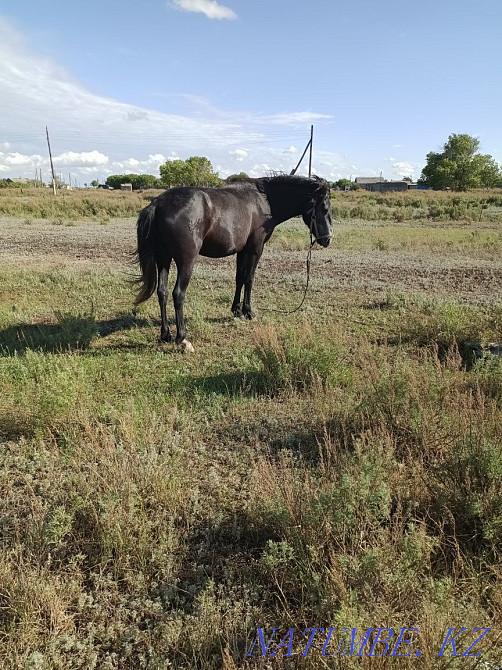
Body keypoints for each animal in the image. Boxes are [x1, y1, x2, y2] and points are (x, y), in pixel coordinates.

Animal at [133, 174, 333, 352]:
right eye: (324, 208)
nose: (327, 239)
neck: (264, 201)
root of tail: (158, 204)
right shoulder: (255, 249)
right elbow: (249, 279)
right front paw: (248, 311)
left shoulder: (241, 251)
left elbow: (239, 279)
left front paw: (236, 310)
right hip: (186, 262)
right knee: (178, 294)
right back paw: (182, 339)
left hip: (163, 260)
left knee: (162, 292)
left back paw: (165, 334)